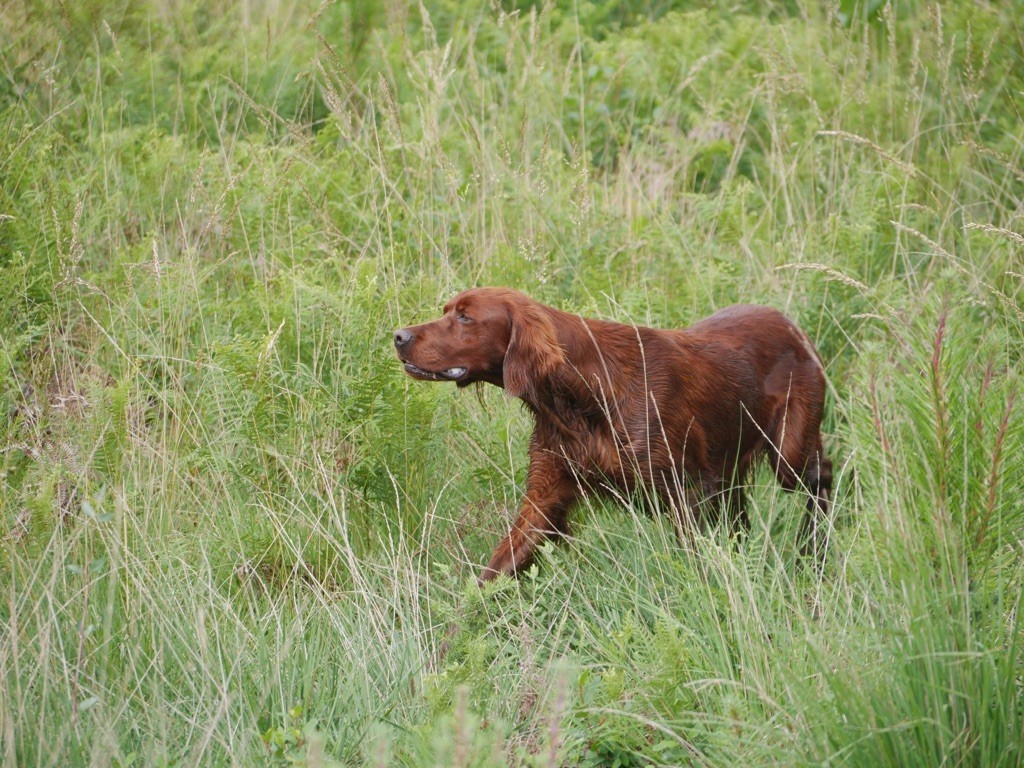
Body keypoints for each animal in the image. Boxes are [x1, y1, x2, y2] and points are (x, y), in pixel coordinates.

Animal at [391, 288, 831, 581]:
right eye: (446, 311)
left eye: (466, 317)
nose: (398, 336)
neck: (585, 394)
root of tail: (792, 325)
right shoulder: (544, 500)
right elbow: (490, 577)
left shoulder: (686, 492)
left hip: (788, 452)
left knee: (823, 477)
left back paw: (813, 552)